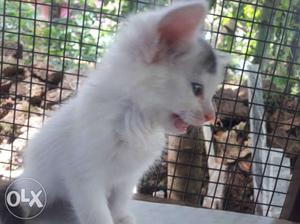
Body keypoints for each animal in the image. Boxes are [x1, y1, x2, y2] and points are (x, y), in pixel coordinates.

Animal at [0, 0, 225, 223]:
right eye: (197, 89)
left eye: (212, 92)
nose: (210, 116)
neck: (134, 122)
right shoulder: (83, 178)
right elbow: (97, 214)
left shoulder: (129, 177)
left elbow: (120, 200)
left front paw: (121, 217)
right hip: (36, 185)